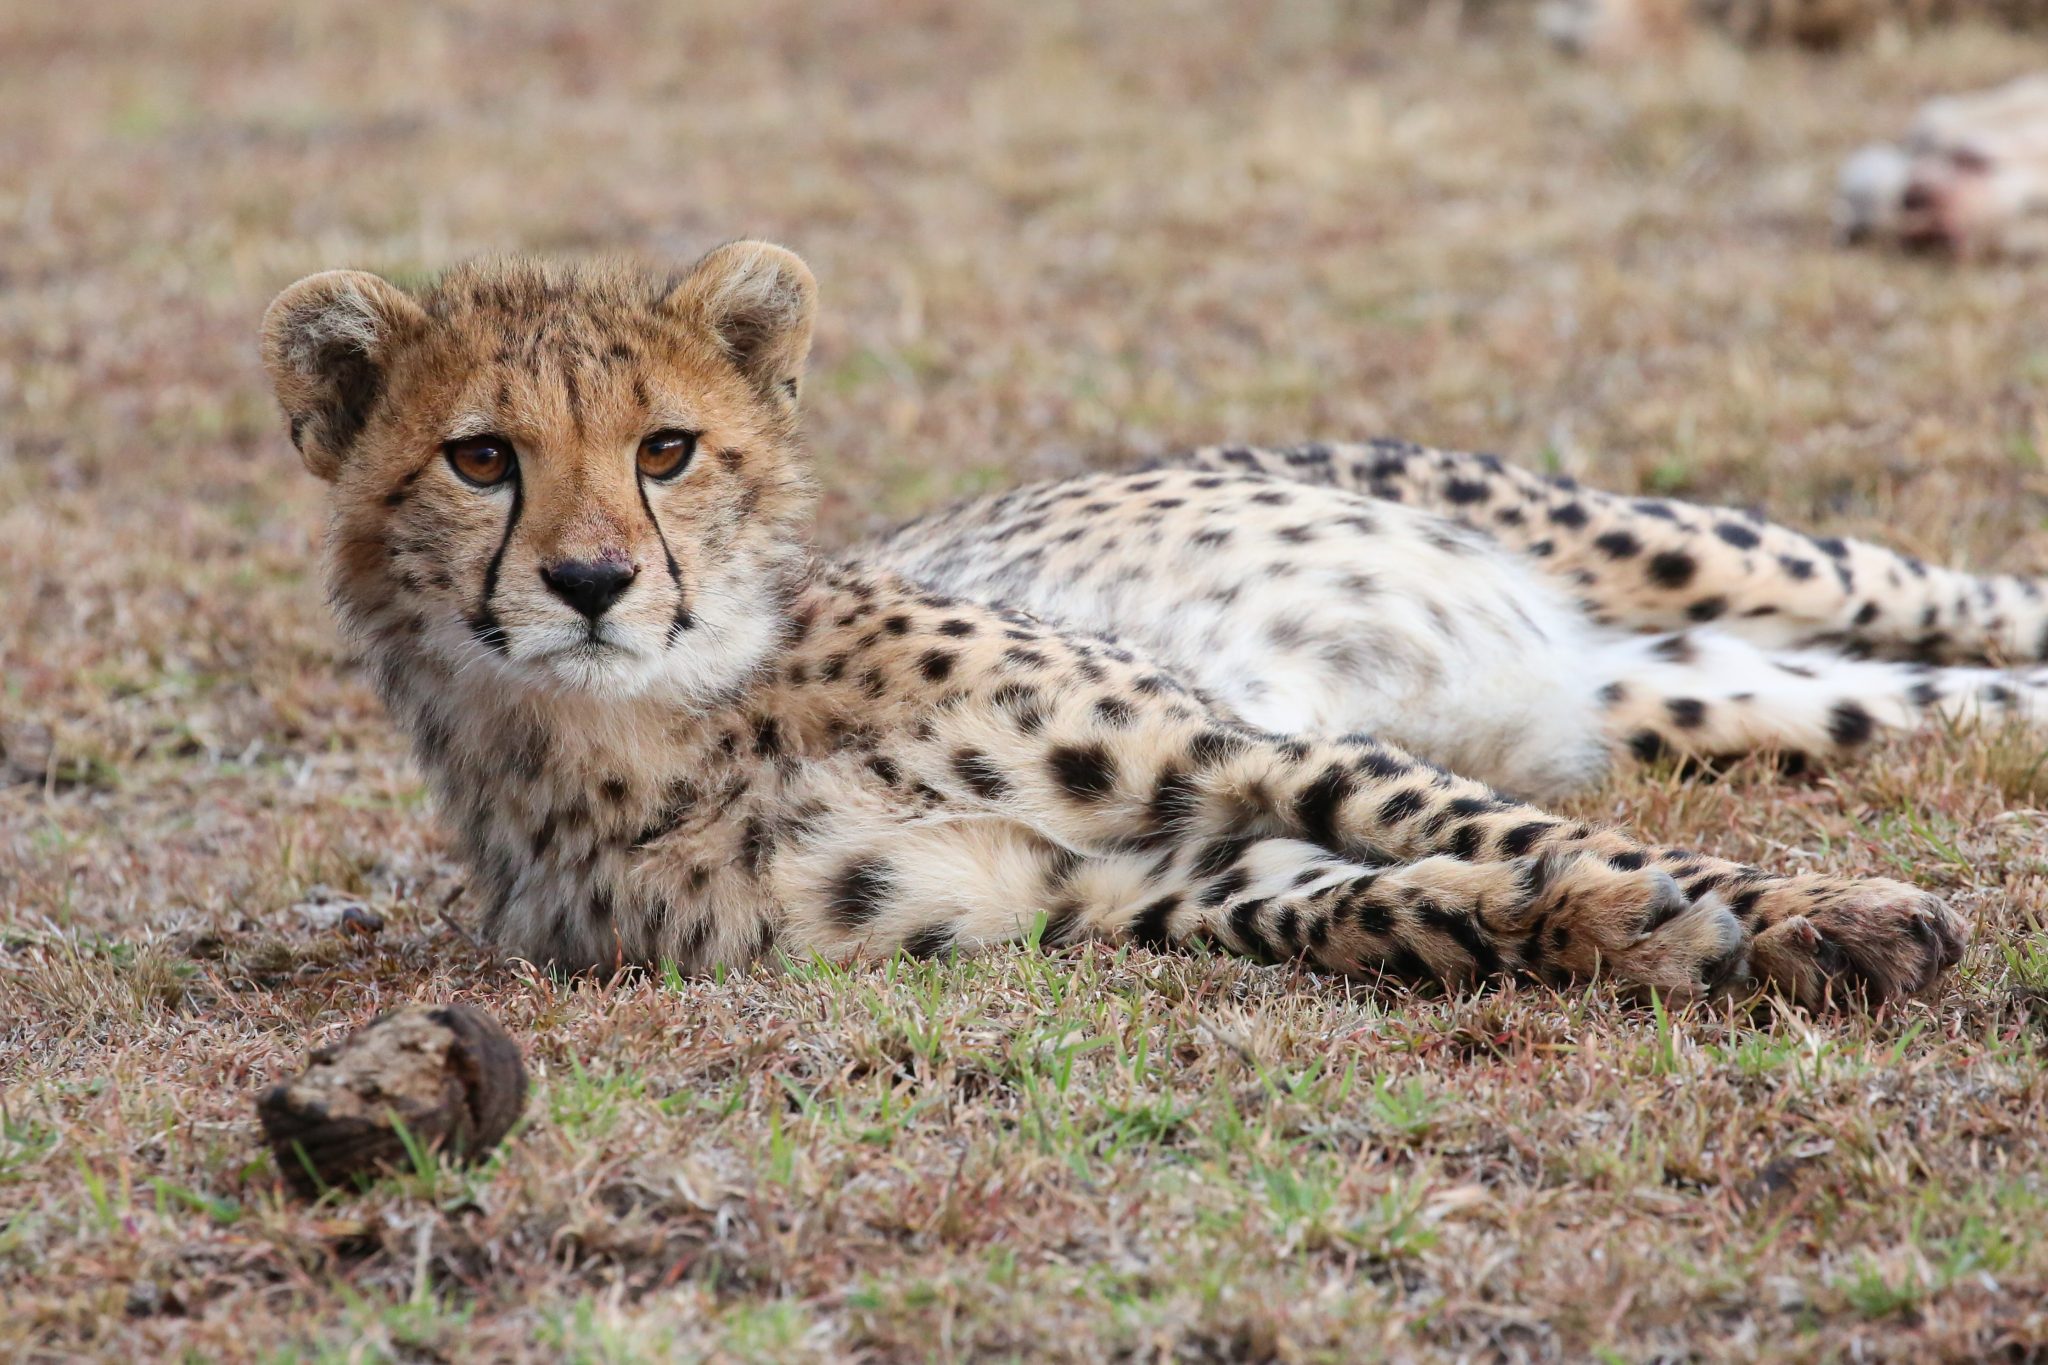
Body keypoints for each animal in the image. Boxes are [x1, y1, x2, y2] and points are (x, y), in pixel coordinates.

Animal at [259, 239, 1998, 1013]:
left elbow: (1491, 824)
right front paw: (1594, 928)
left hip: (1687, 552)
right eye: (483, 459)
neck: (684, 711)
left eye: (666, 450)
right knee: (1946, 693)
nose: (592, 582)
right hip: (1715, 689)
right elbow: (1374, 903)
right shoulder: (1100, 889)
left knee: (1963, 599)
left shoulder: (1236, 746)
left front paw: (1819, 913)